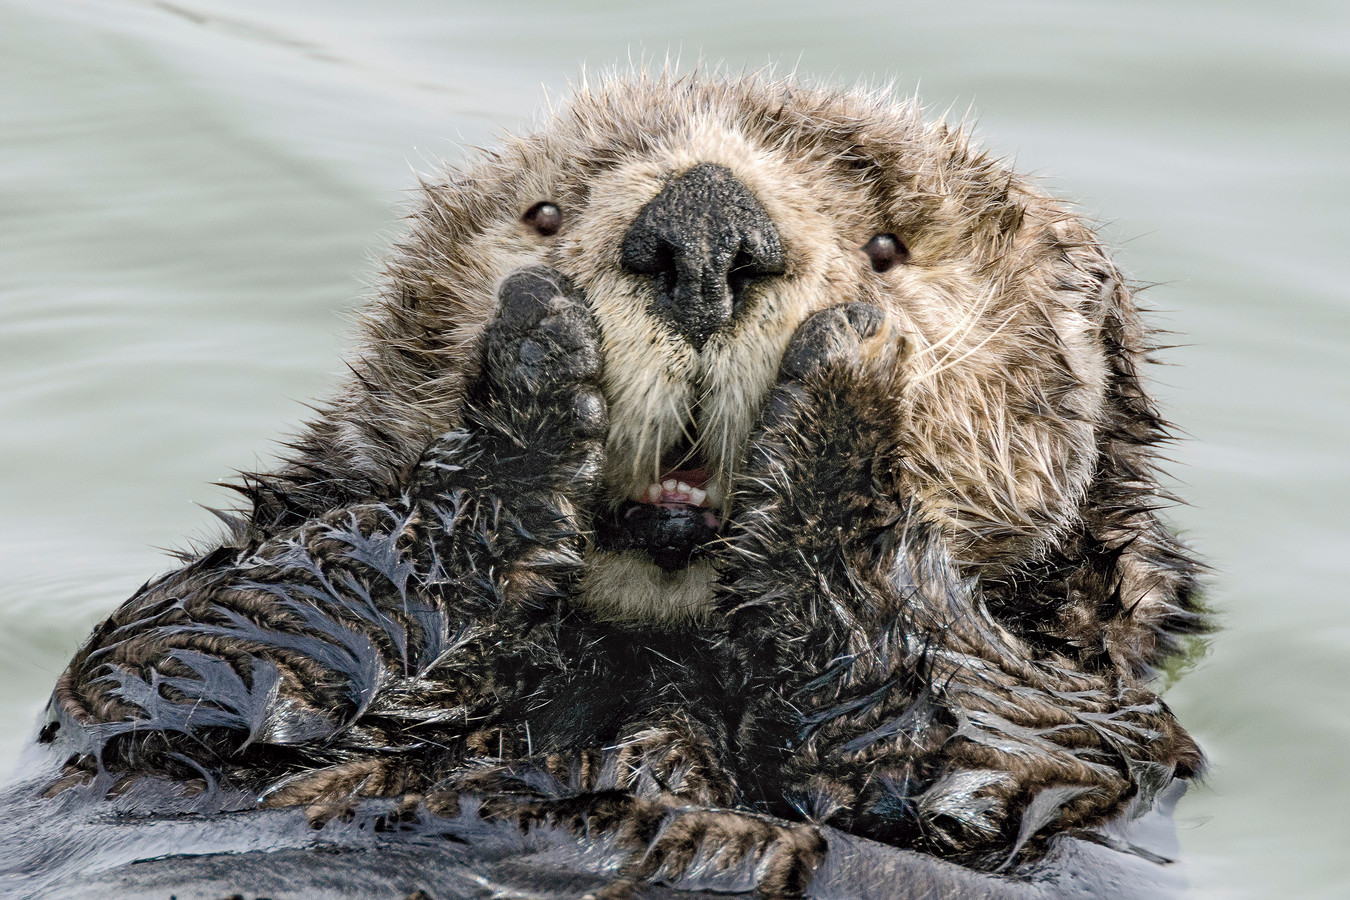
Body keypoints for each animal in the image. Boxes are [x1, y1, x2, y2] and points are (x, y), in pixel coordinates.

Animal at [21, 73, 1209, 895]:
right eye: (547, 214)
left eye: (887, 247)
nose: (704, 228)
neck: (650, 661)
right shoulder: (168, 673)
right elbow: (192, 651)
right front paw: (535, 366)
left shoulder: (1087, 735)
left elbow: (951, 743)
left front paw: (846, 390)